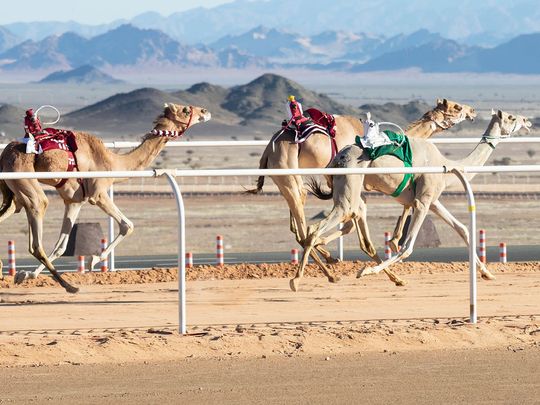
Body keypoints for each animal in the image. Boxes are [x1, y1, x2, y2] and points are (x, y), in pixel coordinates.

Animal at [0, 101, 211, 290]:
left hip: (15, 193)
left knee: (13, 209)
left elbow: (61, 246)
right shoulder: (98, 193)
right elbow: (127, 225)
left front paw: (25, 274)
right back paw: (69, 286)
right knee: (38, 219)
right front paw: (94, 260)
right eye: (186, 110)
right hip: (25, 181)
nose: (205, 111)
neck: (114, 162)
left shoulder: (74, 200)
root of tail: (5, 154)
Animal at [247, 99, 474, 260]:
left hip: (285, 180)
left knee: (297, 223)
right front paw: (393, 241)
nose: (472, 111)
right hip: (289, 170)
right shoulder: (357, 180)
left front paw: (393, 241)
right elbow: (352, 219)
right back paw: (326, 262)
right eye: (457, 107)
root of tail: (268, 150)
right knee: (303, 225)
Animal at [292, 109, 532, 290]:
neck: (446, 165)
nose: (527, 120)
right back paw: (298, 280)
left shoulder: (432, 200)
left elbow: (462, 229)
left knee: (325, 229)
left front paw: (487, 273)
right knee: (318, 228)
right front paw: (366, 271)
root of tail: (337, 159)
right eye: (511, 117)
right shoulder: (422, 201)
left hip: (349, 191)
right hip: (349, 187)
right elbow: (406, 247)